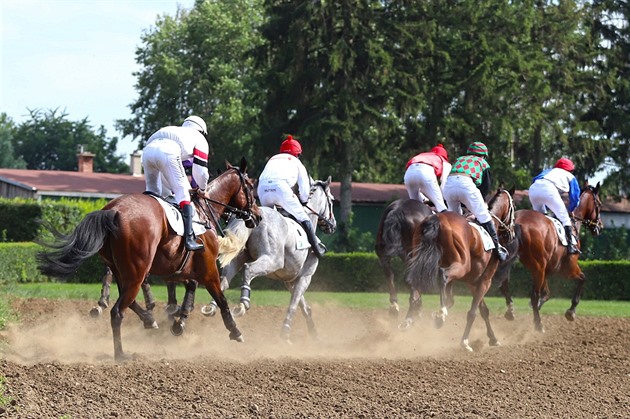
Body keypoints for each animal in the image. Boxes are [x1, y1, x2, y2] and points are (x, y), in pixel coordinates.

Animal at [37, 159, 262, 362]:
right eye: (251, 186)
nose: (258, 216)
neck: (204, 212)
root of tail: (113, 210)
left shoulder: (182, 270)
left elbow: (190, 288)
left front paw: (178, 321)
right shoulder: (208, 271)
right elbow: (221, 300)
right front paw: (235, 331)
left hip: (123, 271)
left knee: (127, 300)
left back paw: (147, 320)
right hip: (137, 272)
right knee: (117, 312)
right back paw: (121, 354)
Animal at [202, 179, 338, 342]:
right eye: (332, 201)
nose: (333, 225)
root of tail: (250, 216)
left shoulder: (290, 280)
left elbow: (304, 306)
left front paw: (314, 333)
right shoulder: (305, 277)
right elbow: (294, 304)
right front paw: (285, 332)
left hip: (237, 259)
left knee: (223, 280)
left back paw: (212, 307)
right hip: (272, 260)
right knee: (248, 269)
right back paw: (243, 304)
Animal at [376, 199, 434, 330]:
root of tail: (398, 209)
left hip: (384, 252)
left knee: (389, 275)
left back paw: (395, 307)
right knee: (409, 279)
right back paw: (409, 317)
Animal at [404, 189, 520, 352]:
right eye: (514, 206)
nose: (512, 234)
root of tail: (436, 218)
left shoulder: (473, 282)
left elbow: (482, 310)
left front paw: (493, 338)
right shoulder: (485, 280)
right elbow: (473, 311)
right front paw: (465, 342)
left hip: (420, 258)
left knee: (415, 282)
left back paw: (410, 318)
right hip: (461, 265)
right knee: (443, 276)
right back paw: (441, 314)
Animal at [502, 182, 604, 334]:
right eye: (600, 204)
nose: (600, 227)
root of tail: (517, 221)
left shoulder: (546, 270)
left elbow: (546, 294)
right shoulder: (568, 269)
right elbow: (583, 279)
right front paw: (571, 312)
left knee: (504, 285)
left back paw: (511, 311)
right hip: (538, 266)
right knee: (533, 295)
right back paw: (539, 325)